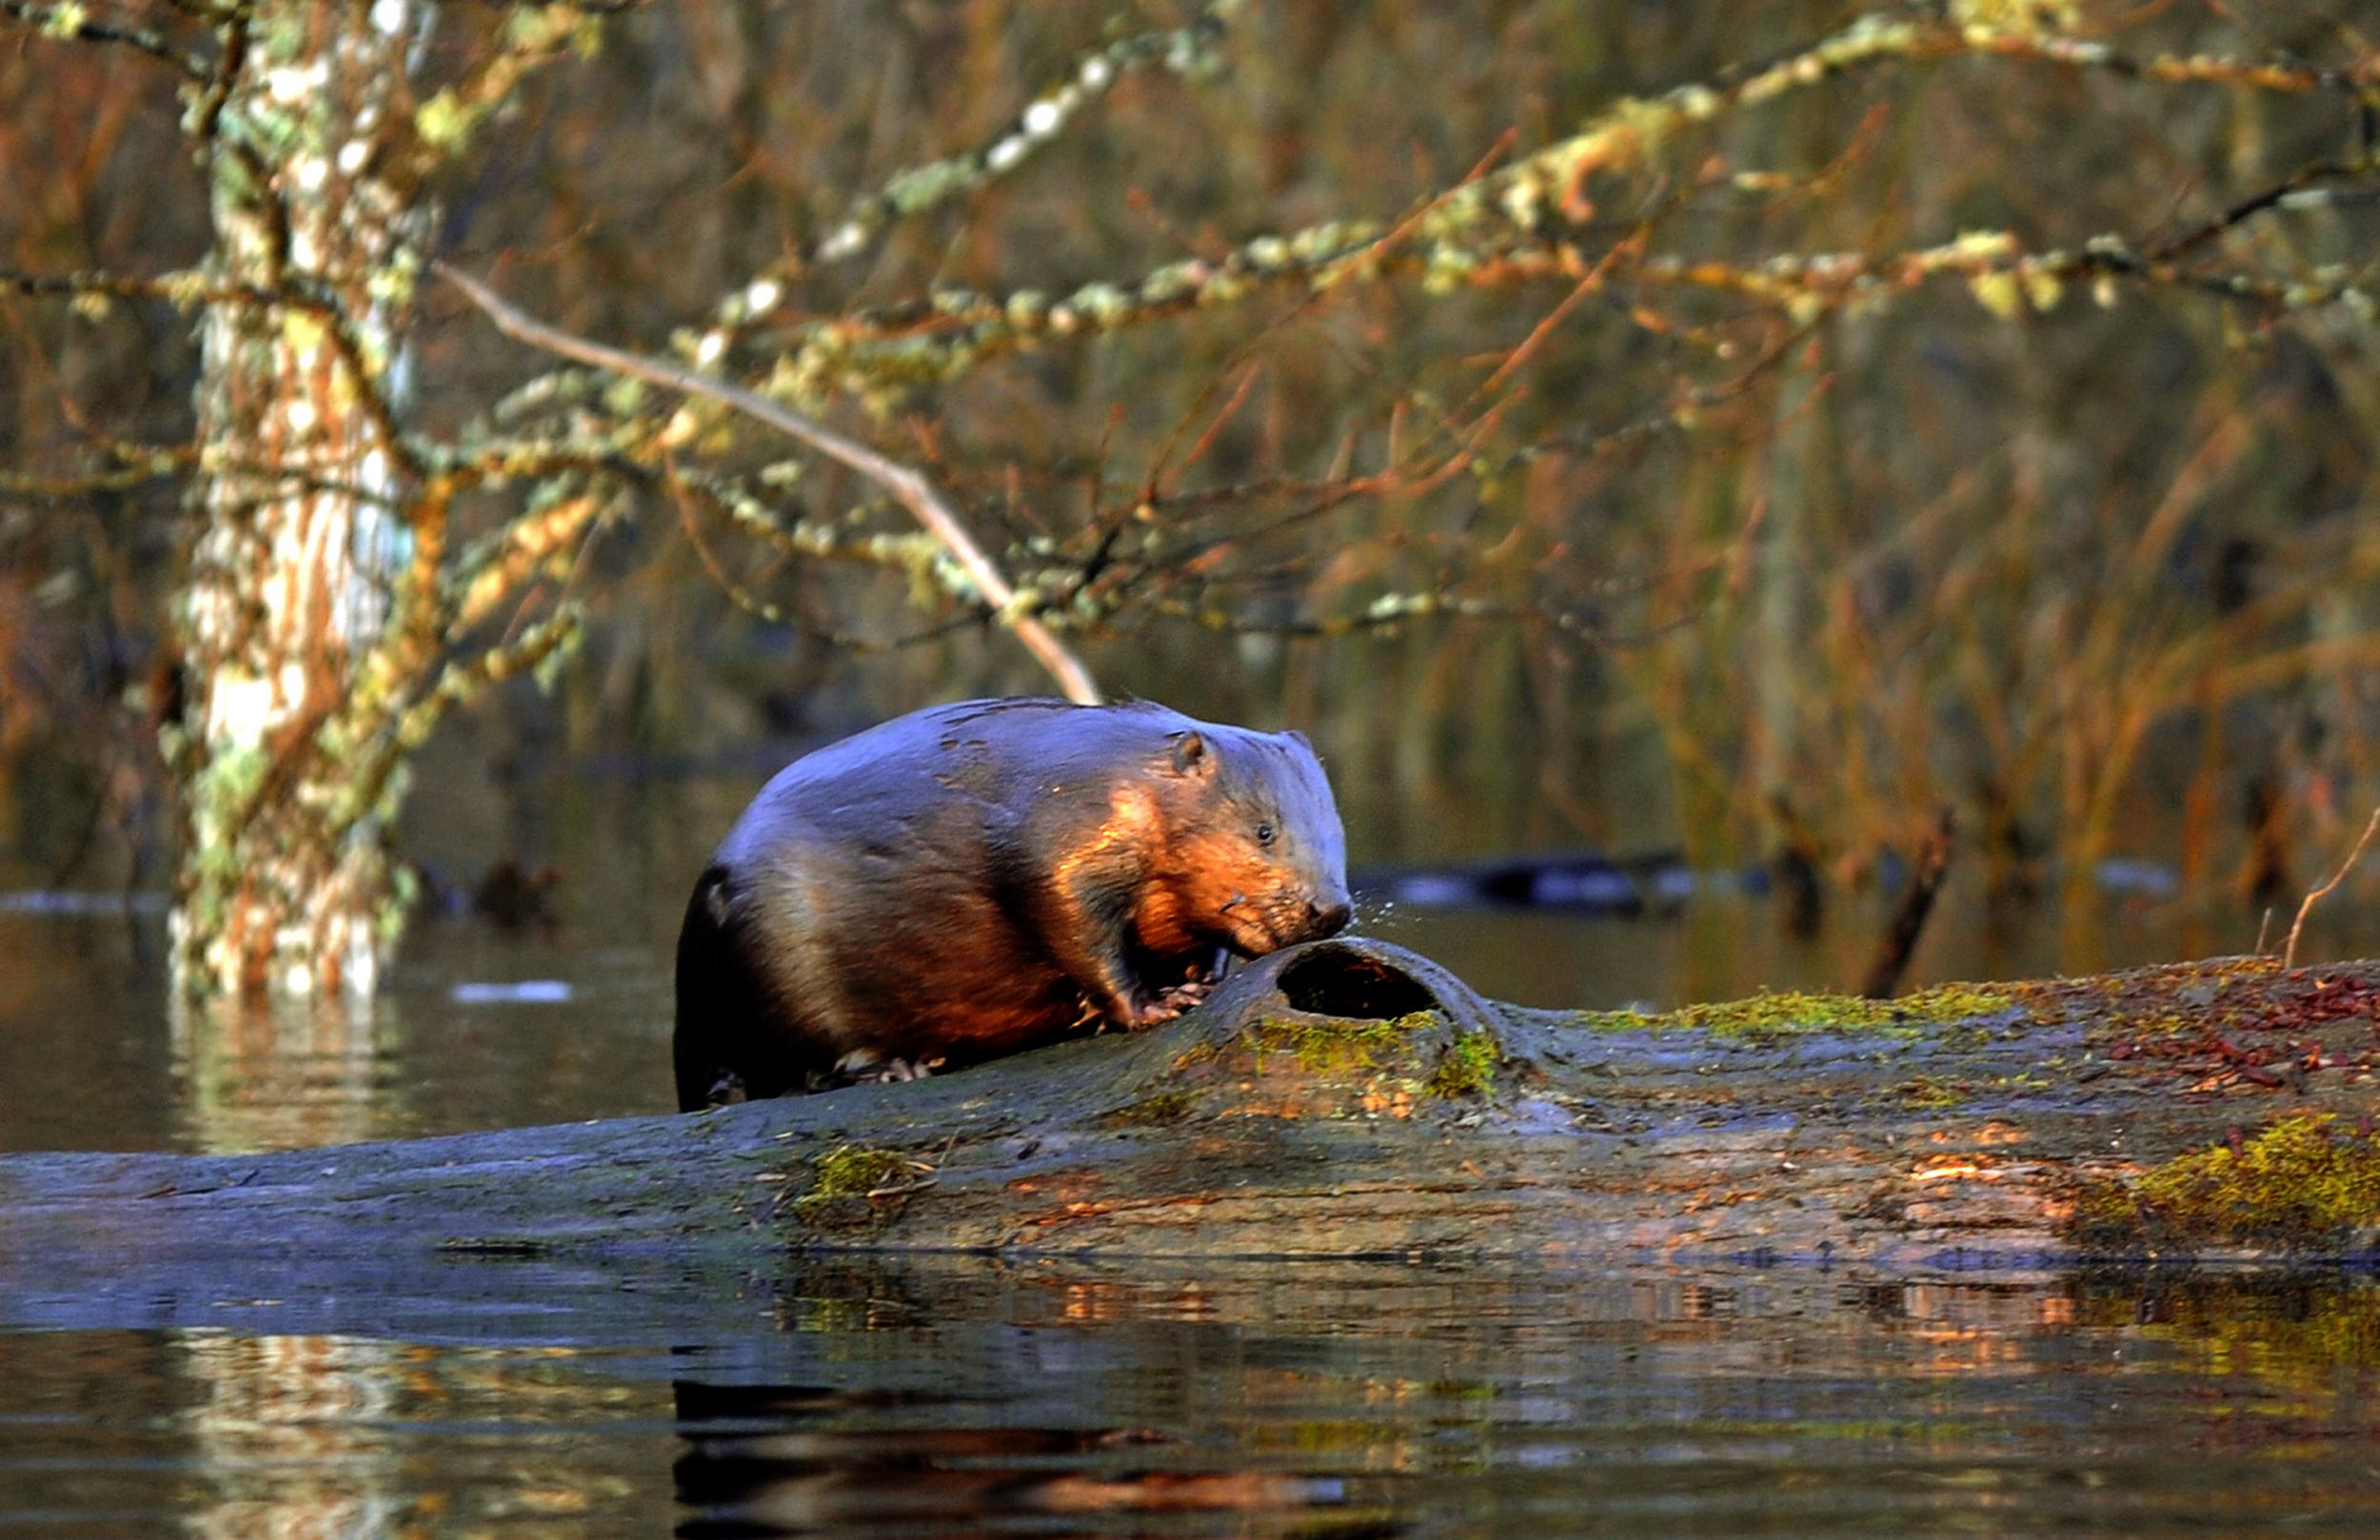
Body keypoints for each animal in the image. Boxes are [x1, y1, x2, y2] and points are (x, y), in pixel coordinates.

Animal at [671, 700, 1352, 1109]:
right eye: (1264, 831)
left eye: (1336, 828)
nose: (1332, 911)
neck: (1127, 778)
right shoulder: (1058, 842)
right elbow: (1076, 928)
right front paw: (1159, 1005)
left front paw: (1198, 981)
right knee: (811, 1065)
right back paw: (900, 1068)